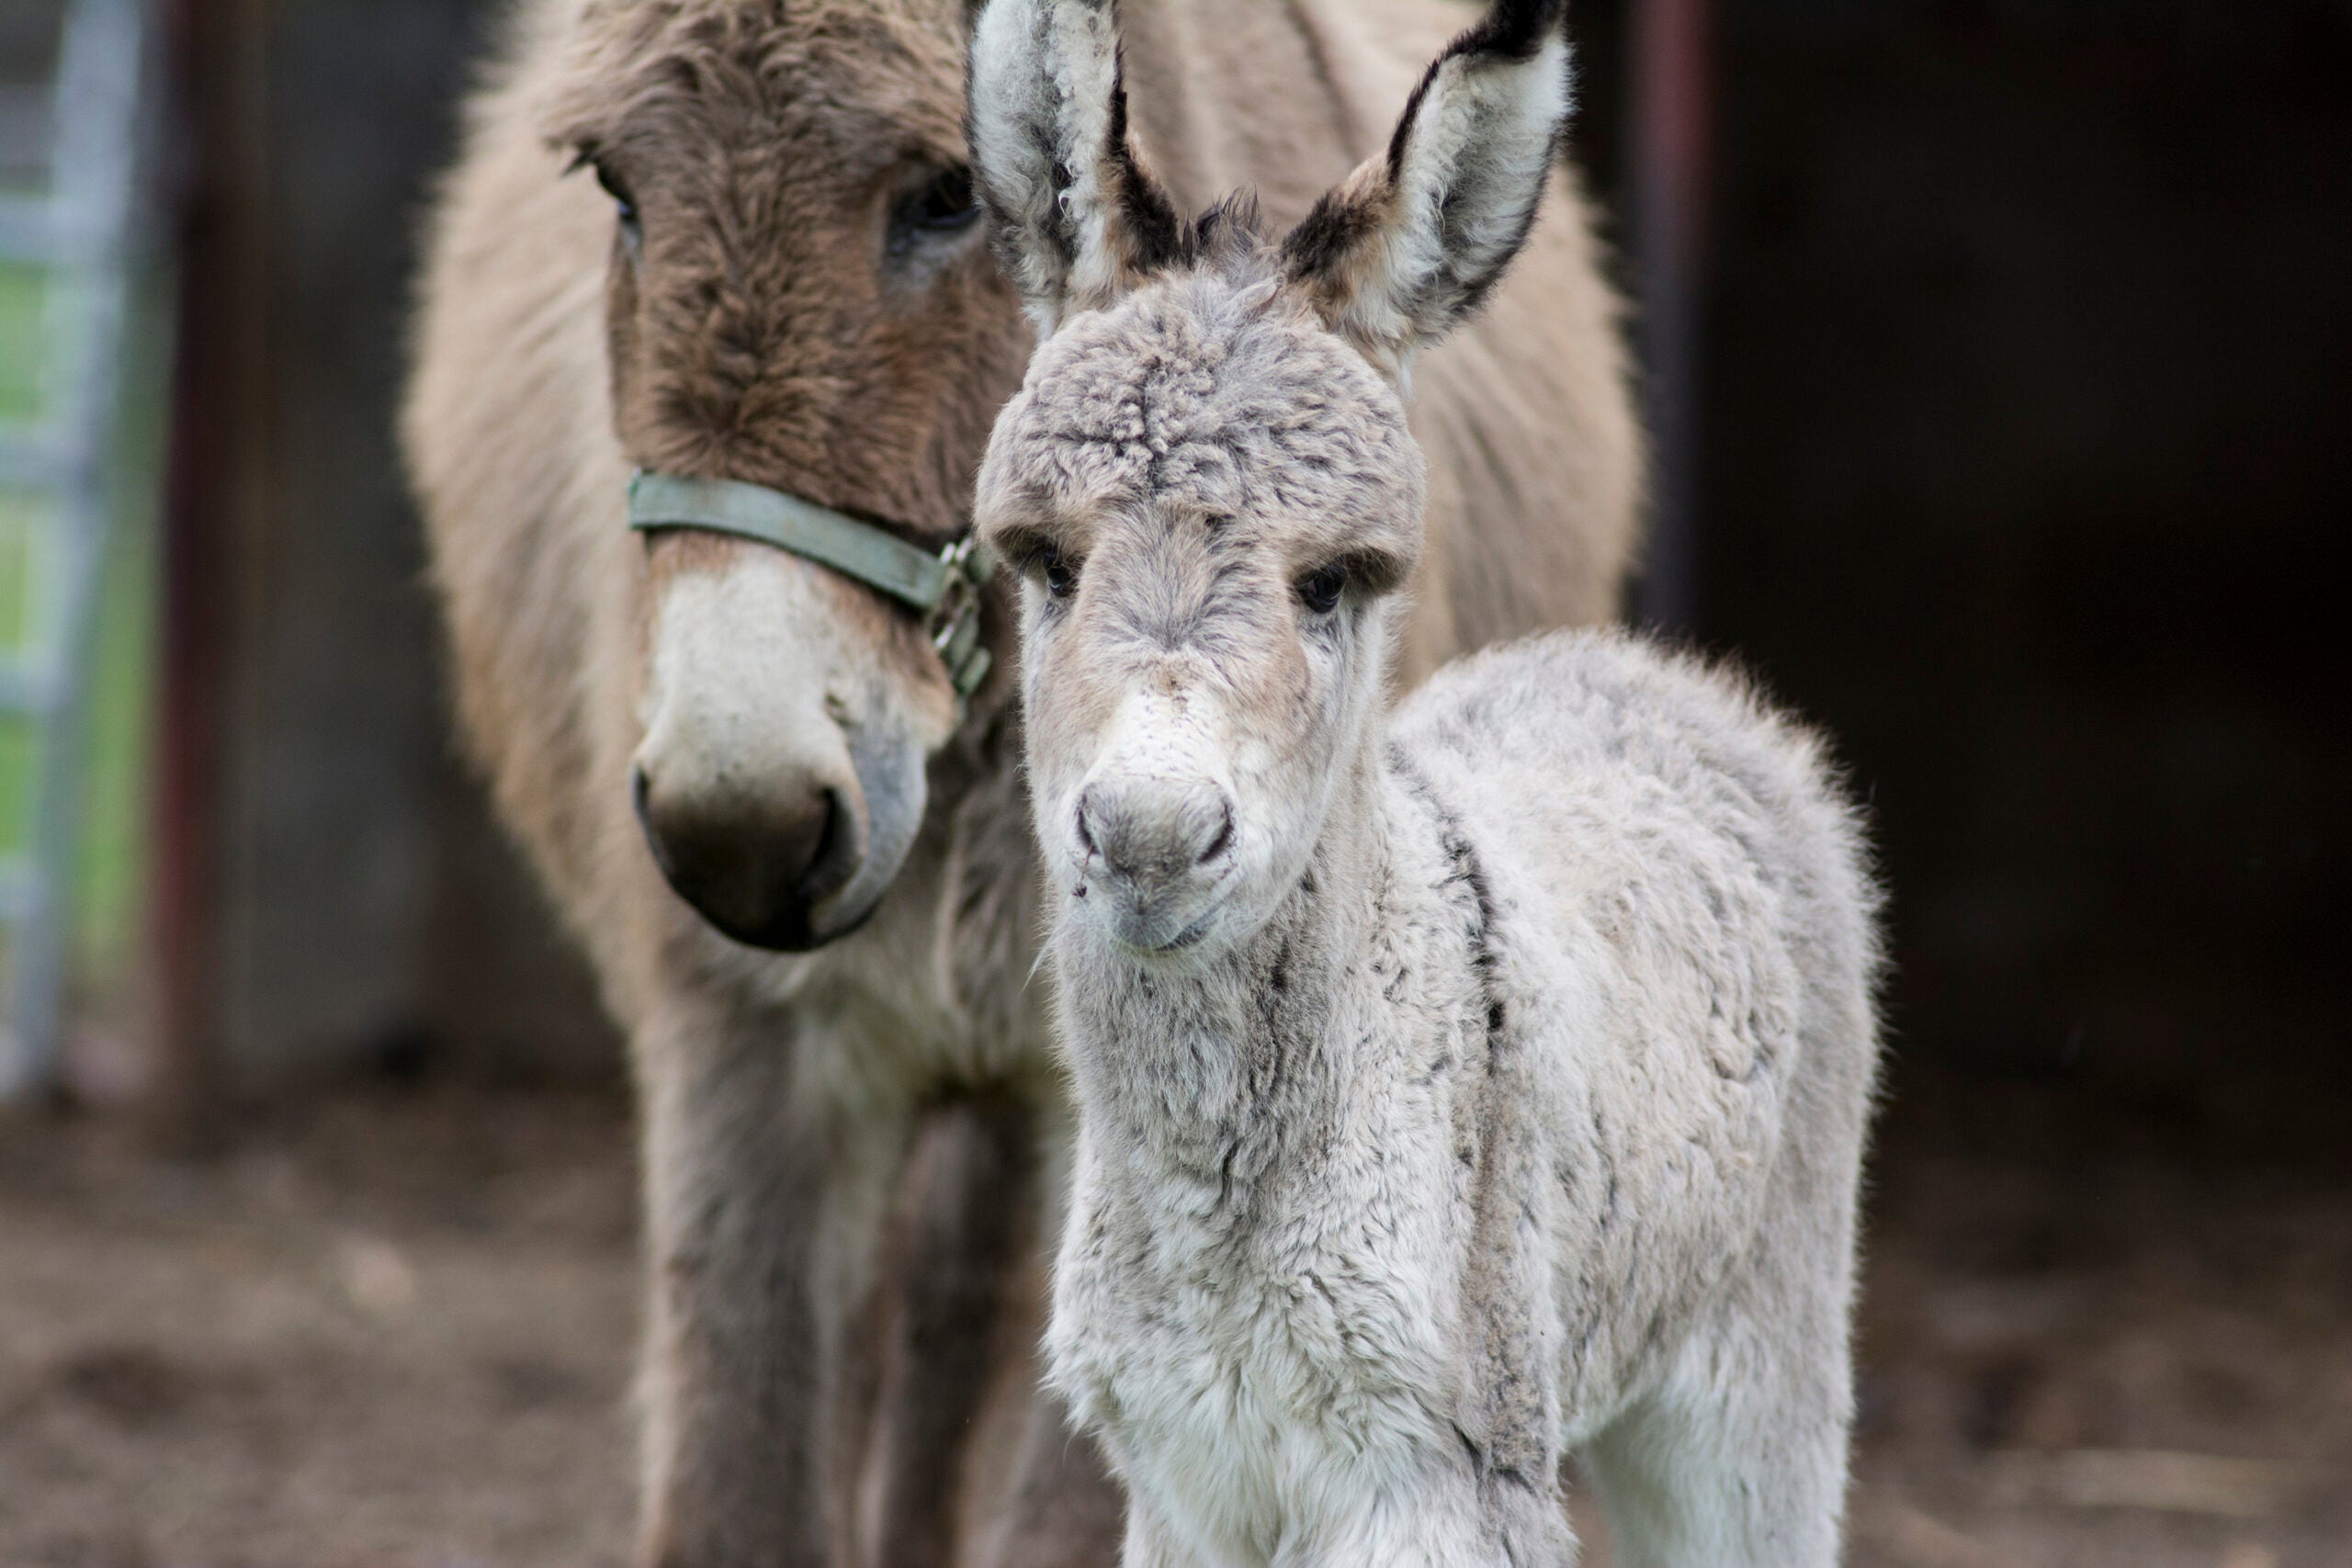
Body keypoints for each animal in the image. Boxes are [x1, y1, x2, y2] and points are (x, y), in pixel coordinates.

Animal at [966, 0, 1885, 1562]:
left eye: (1332, 582)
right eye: (1047, 564)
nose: (1149, 838)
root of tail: (1646, 673)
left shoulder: (1439, 1478)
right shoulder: (1183, 1480)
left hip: (1756, 1378)